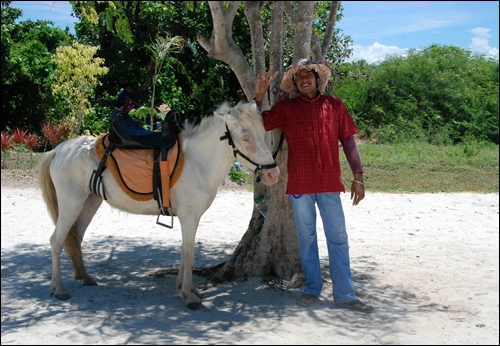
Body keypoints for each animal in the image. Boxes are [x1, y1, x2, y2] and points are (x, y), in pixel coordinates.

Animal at [38, 101, 282, 310]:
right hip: (71, 203)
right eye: (246, 137)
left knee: (75, 239)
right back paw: (59, 288)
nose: (273, 174)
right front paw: (189, 296)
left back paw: (85, 277)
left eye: (263, 133)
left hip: (89, 202)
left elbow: (185, 251)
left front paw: (184, 289)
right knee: (57, 240)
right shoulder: (189, 216)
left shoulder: (191, 218)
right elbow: (188, 254)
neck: (198, 162)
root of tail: (60, 149)